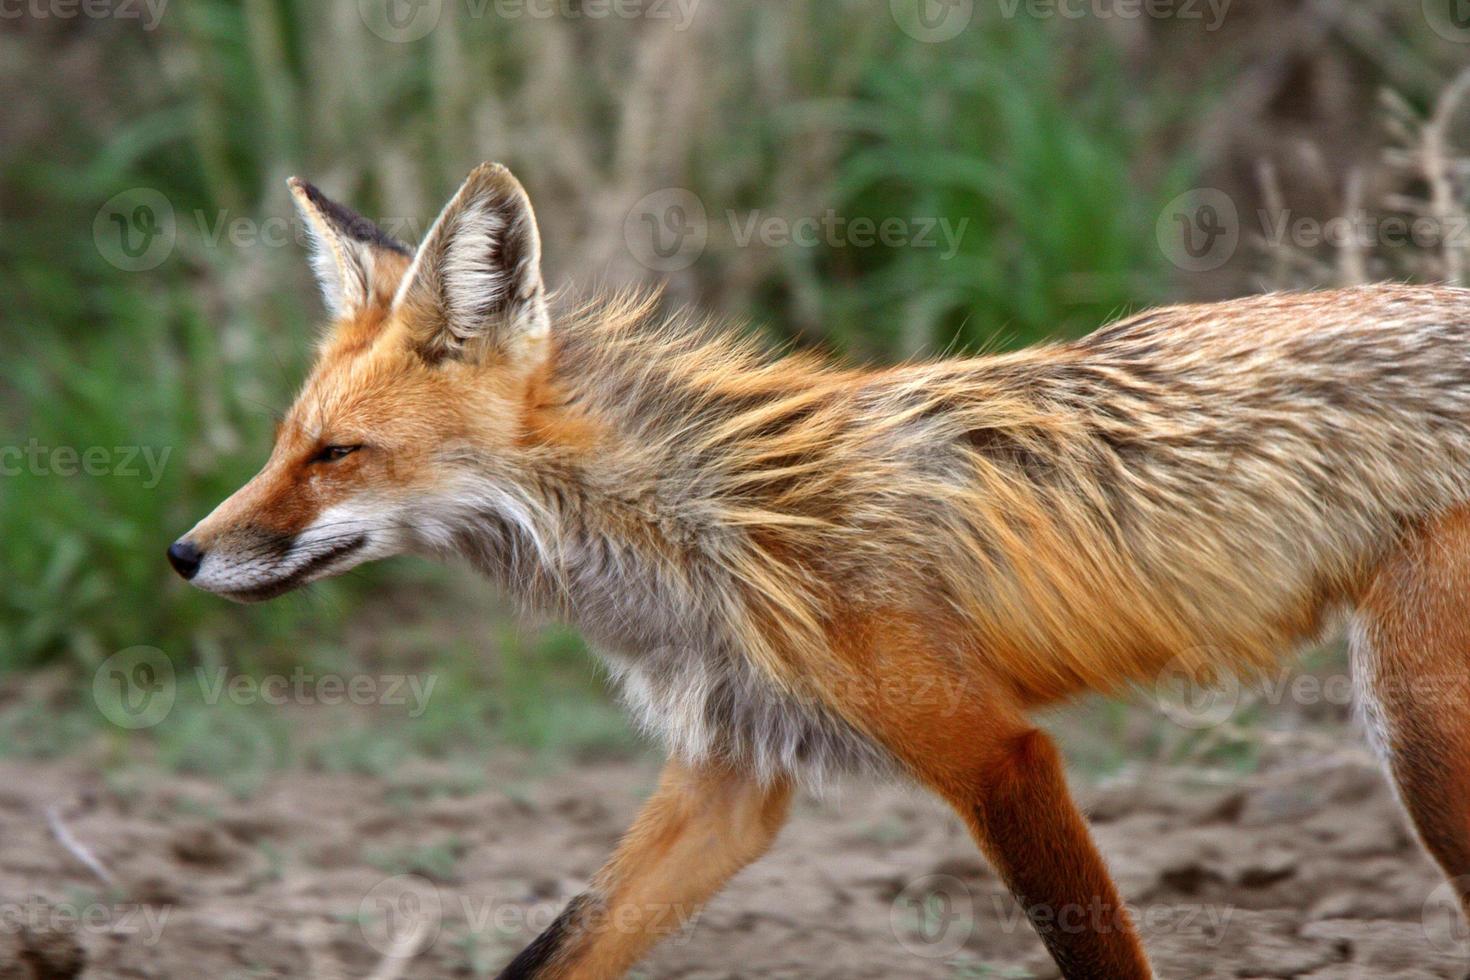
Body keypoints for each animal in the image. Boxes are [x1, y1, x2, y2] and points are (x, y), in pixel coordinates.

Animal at [171, 164, 1470, 975]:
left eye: (337, 454)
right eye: (286, 442)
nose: (184, 552)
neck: (705, 520)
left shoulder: (997, 753)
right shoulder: (733, 772)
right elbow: (557, 945)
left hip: (1410, 726)